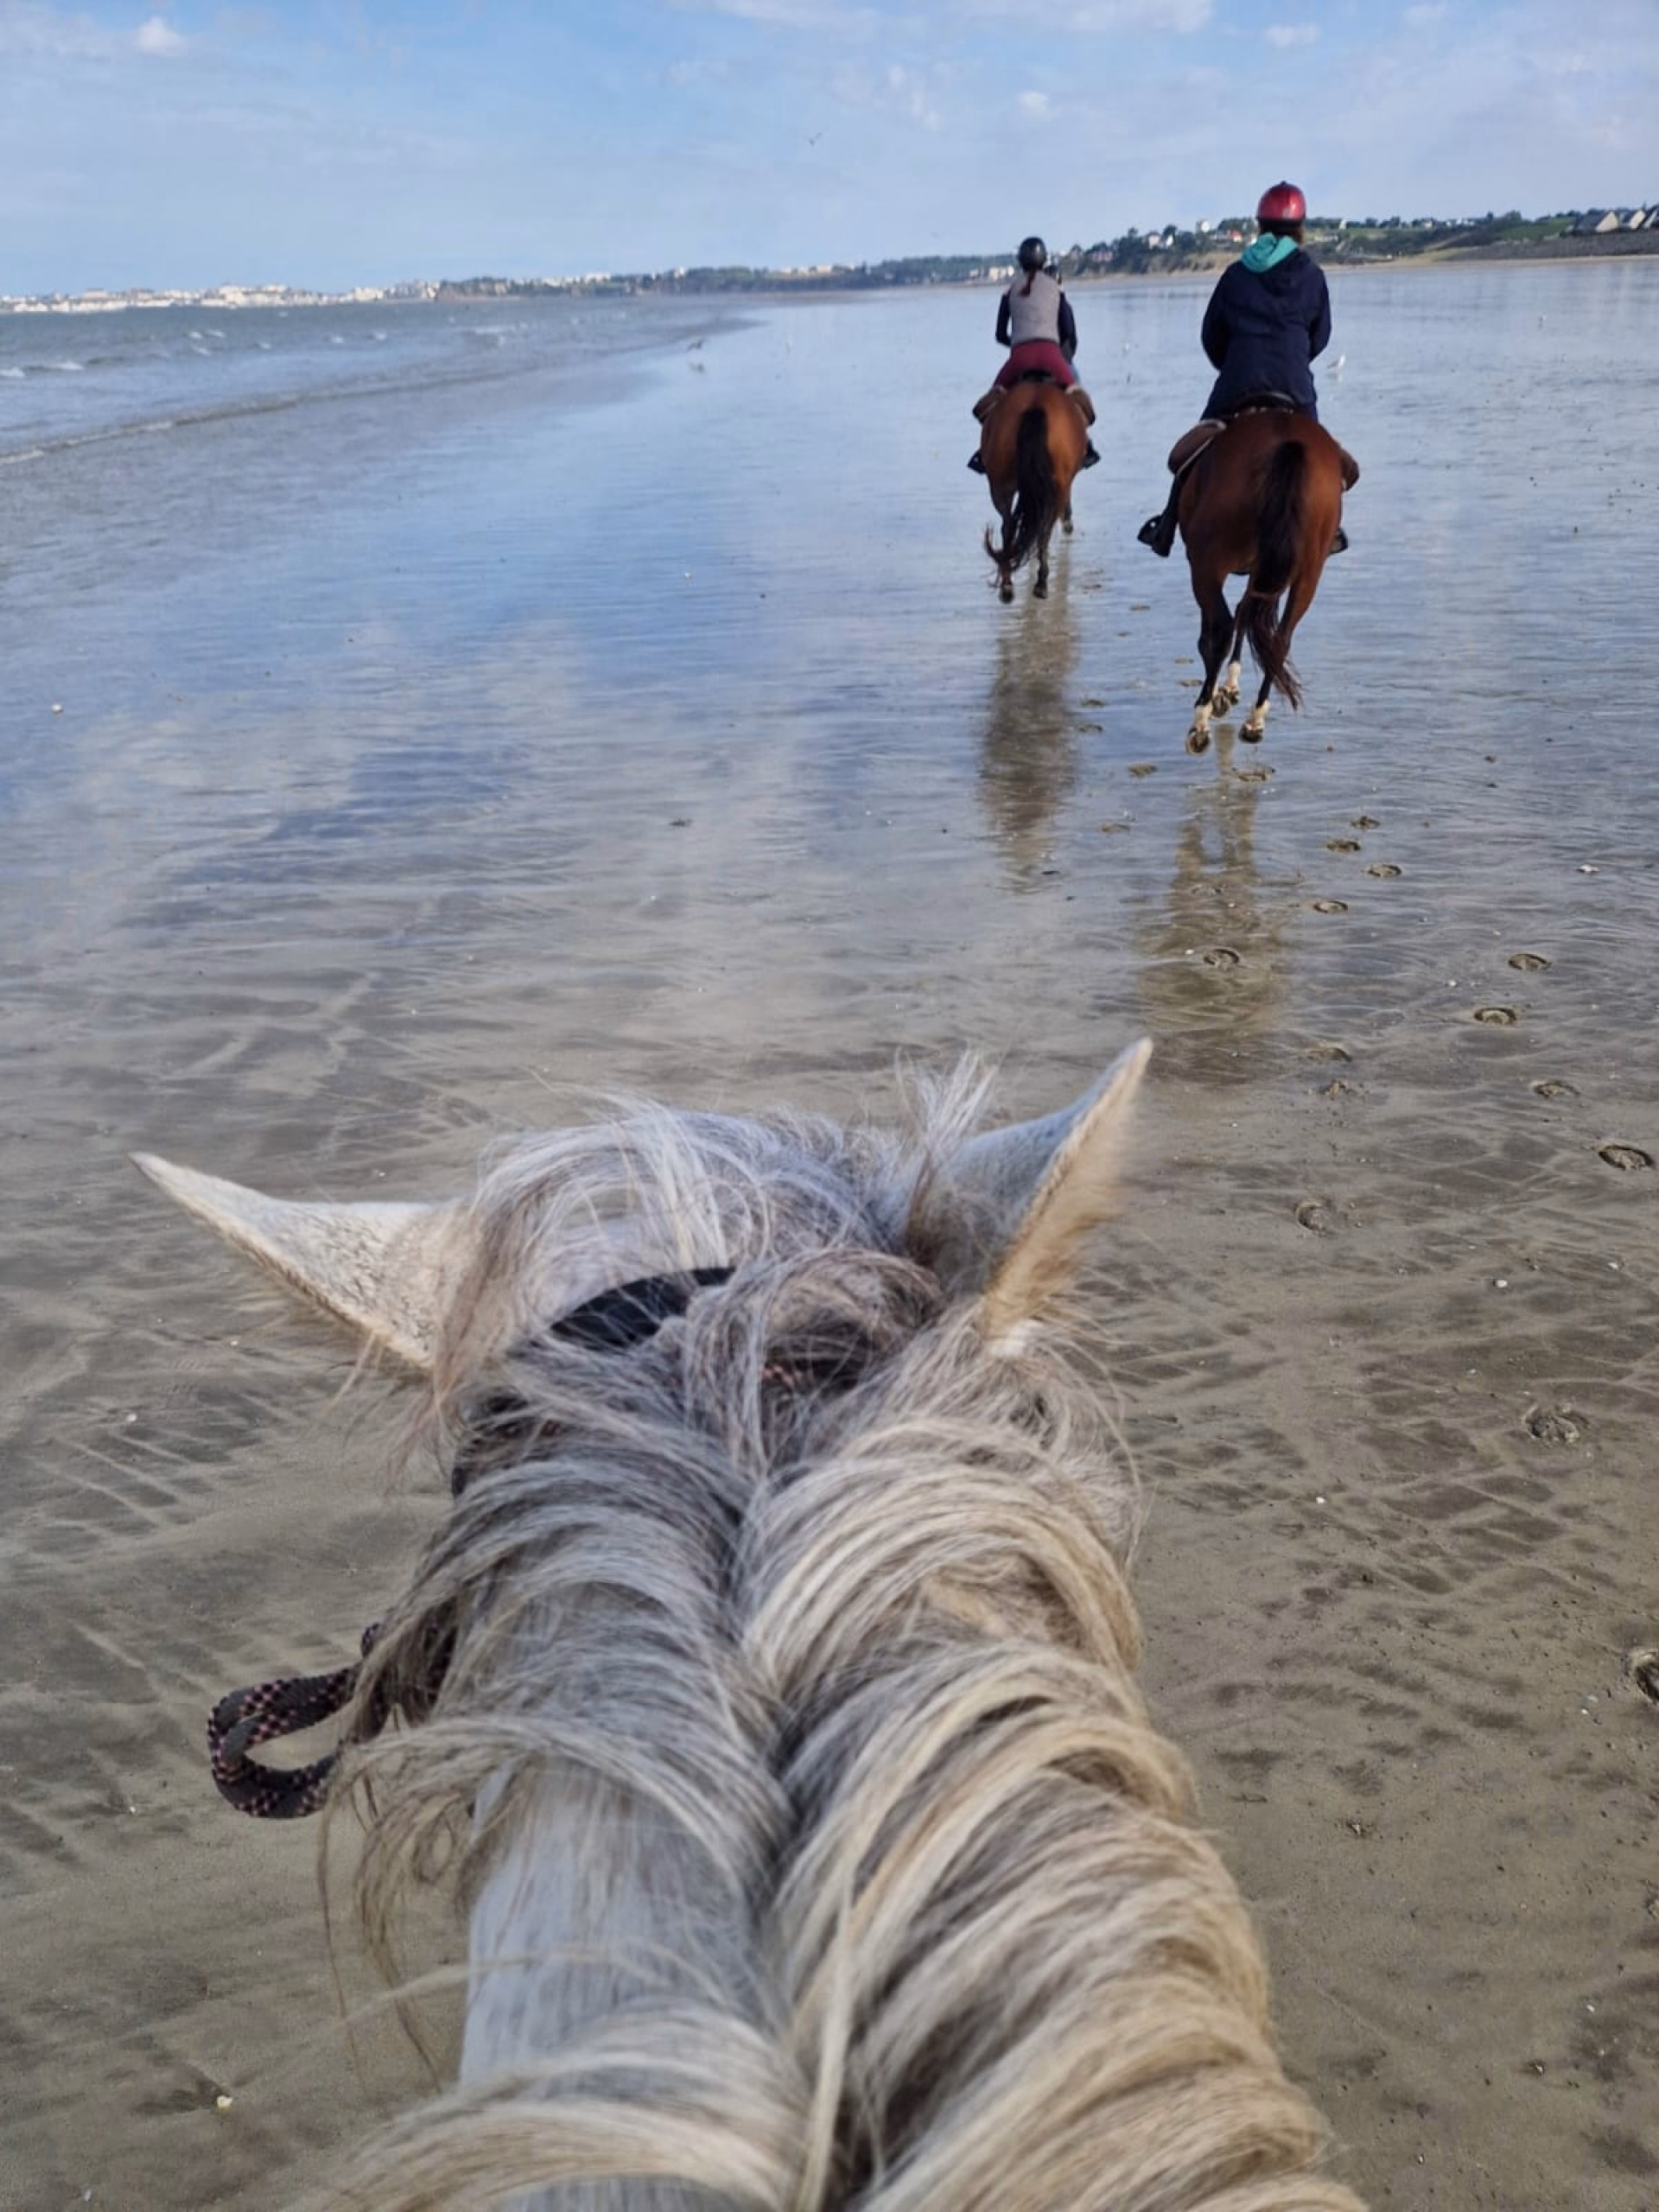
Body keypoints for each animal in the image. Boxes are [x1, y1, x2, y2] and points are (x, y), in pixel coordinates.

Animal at [980, 378, 1086, 604]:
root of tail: (1035, 406)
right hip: (1057, 486)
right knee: (1044, 531)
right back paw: (1041, 583)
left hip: (1000, 482)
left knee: (1008, 526)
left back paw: (1007, 585)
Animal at [1176, 409, 1348, 754]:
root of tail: (1288, 444)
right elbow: (1249, 615)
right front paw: (1229, 690)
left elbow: (1222, 628)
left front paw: (1220, 697)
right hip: (1309, 571)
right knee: (1280, 636)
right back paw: (1255, 720)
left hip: (1207, 564)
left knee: (1221, 628)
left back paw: (1200, 723)